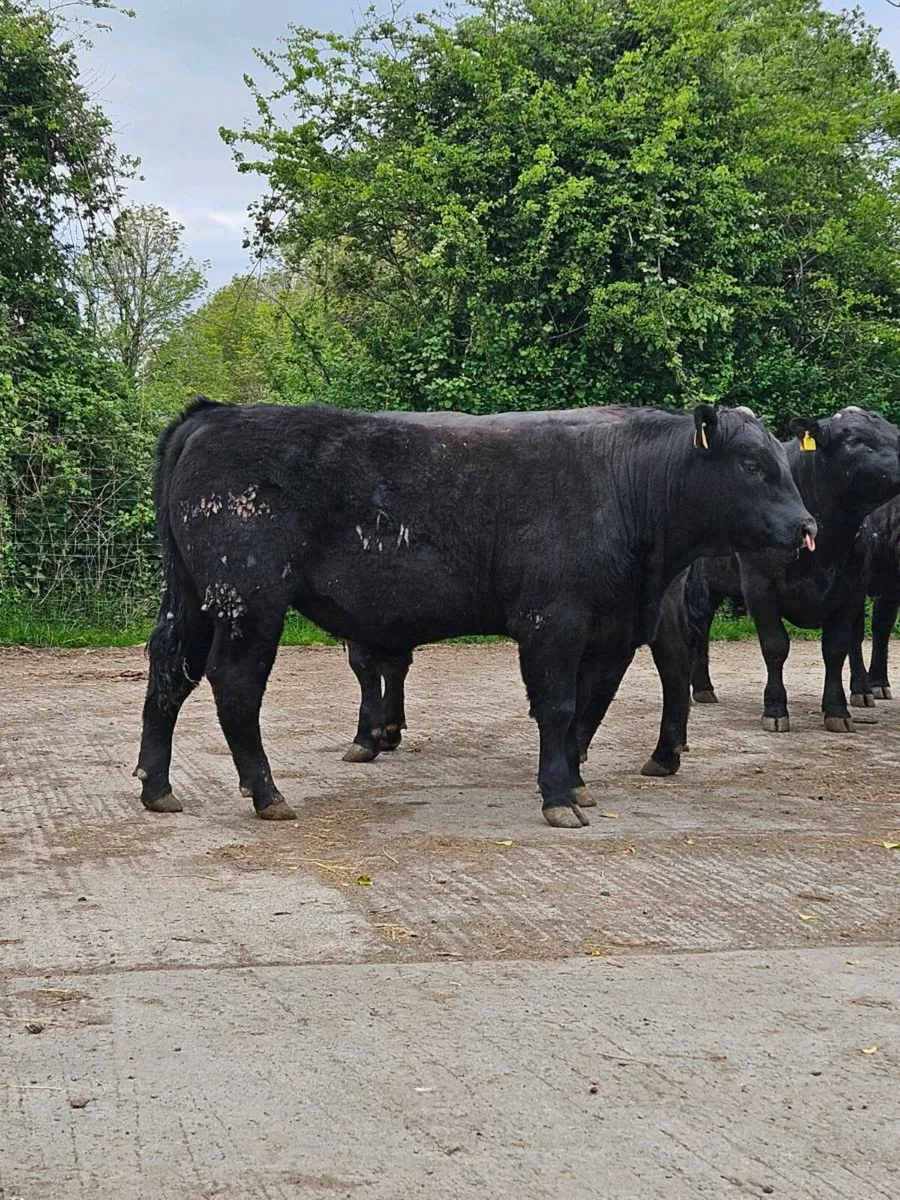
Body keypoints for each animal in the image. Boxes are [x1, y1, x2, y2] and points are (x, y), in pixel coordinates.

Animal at [134, 399, 814, 829]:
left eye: (786, 464)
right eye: (753, 466)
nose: (808, 526)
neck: (625, 483)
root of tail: (216, 413)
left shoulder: (609, 629)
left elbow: (587, 708)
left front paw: (575, 782)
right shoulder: (552, 621)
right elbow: (559, 707)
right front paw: (559, 796)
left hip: (195, 599)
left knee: (171, 671)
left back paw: (157, 785)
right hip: (248, 603)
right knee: (234, 685)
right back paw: (265, 791)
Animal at [686, 407, 900, 731]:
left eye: (895, 433)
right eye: (854, 441)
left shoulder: (851, 587)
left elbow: (836, 647)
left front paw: (837, 710)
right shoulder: (760, 586)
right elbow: (776, 647)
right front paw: (775, 709)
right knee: (698, 625)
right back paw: (701, 687)